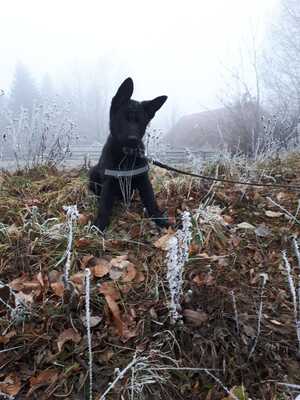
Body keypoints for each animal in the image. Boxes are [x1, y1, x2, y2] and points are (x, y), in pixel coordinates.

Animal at [89, 77, 169, 231]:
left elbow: (151, 200)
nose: (133, 139)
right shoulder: (109, 181)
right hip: (93, 172)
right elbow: (104, 205)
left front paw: (158, 218)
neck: (126, 154)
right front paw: (100, 224)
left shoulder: (144, 180)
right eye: (123, 118)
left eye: (141, 122)